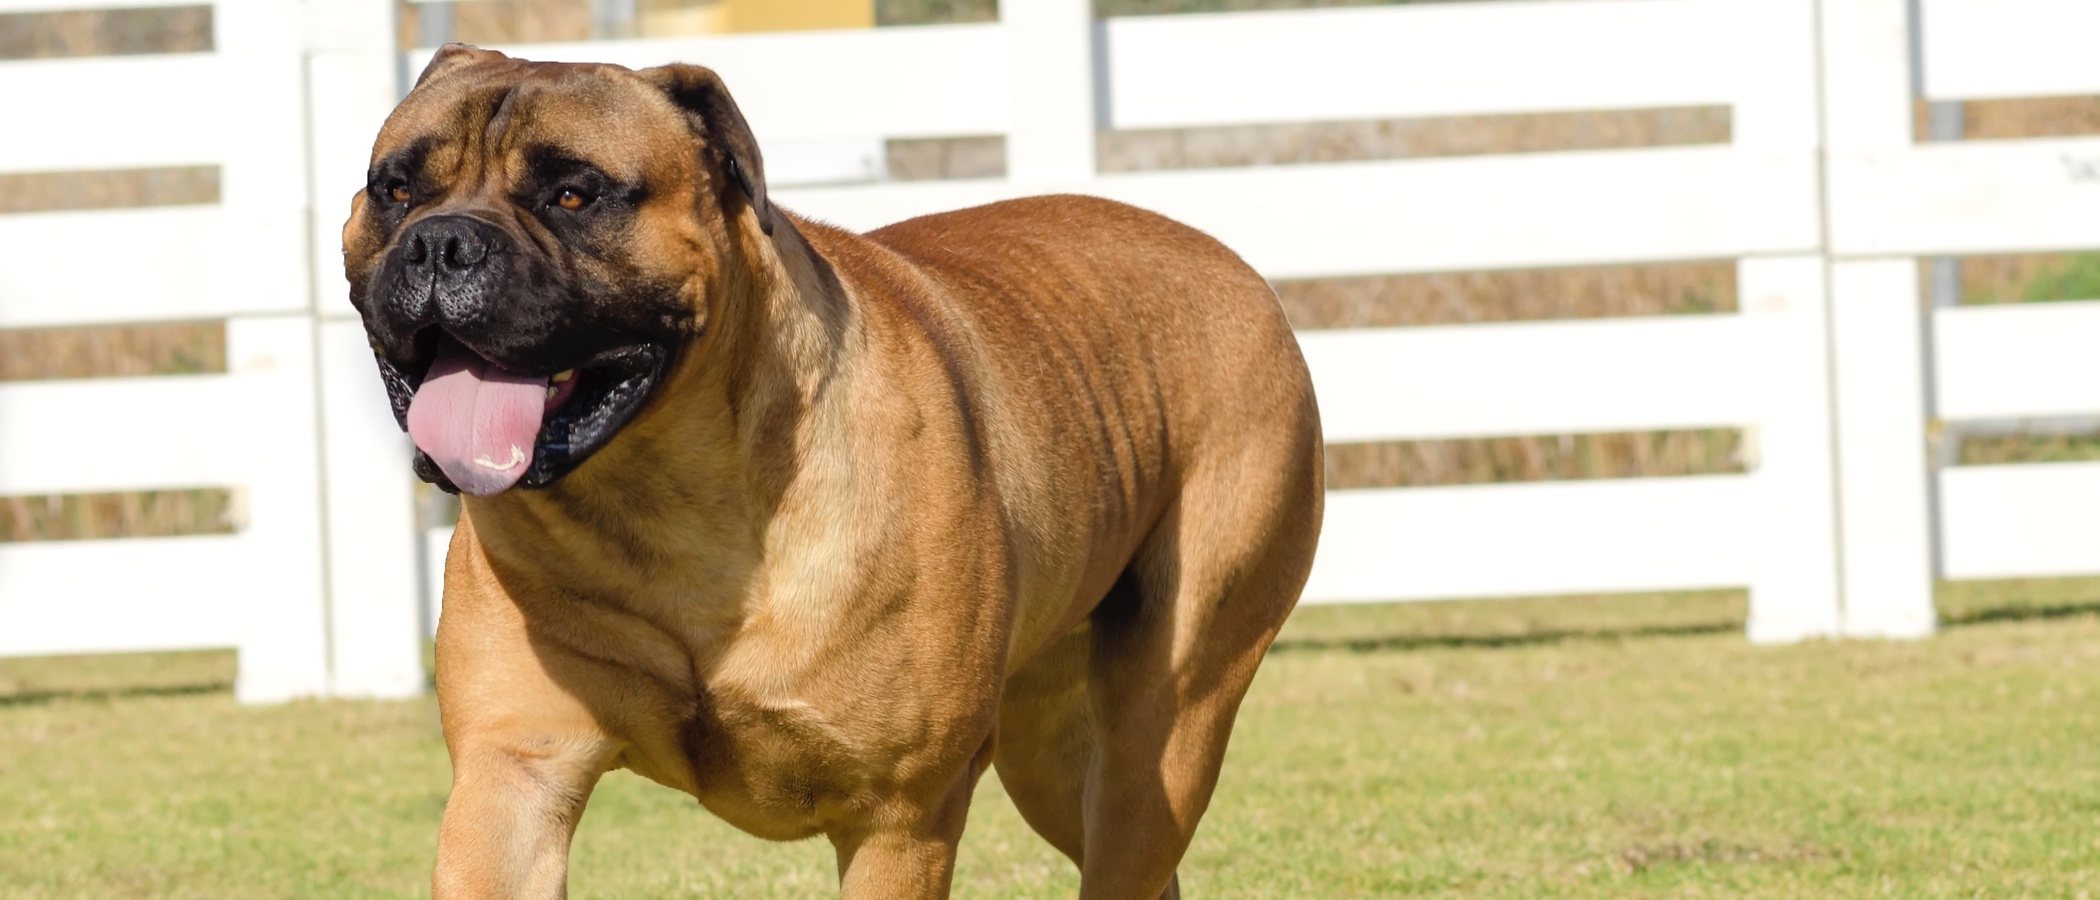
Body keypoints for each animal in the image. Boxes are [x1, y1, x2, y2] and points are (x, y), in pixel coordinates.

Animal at [346, 47, 1327, 897]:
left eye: (574, 193)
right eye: (395, 188)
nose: (439, 244)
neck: (660, 496)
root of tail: (1237, 268)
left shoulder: (900, 817)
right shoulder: (511, 779)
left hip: (1166, 723)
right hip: (1052, 748)